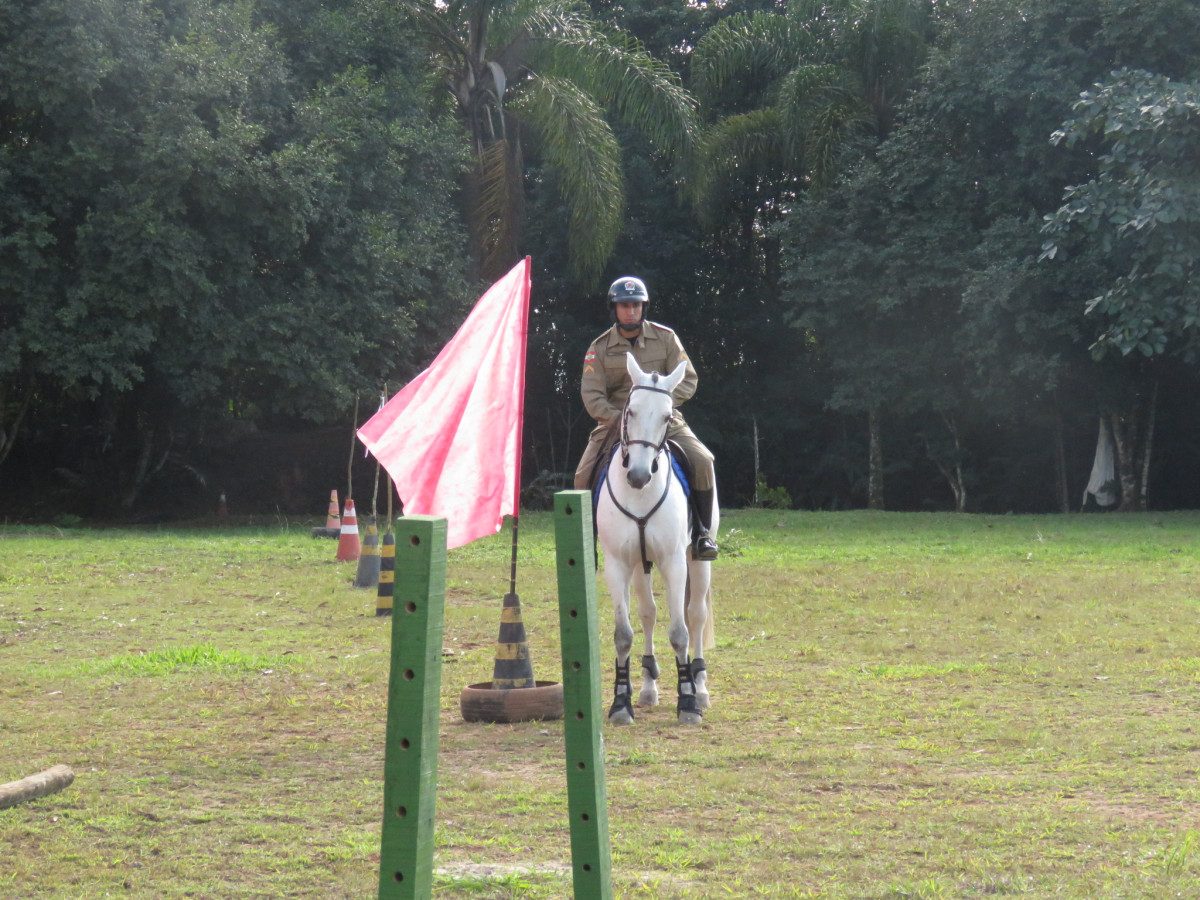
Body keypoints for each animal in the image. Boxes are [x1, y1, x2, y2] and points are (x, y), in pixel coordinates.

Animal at [595, 352, 715, 724]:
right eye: (630, 411)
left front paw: (688, 703)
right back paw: (648, 687)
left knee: (696, 614)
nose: (638, 475)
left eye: (666, 415)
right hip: (639, 566)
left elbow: (680, 631)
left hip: (697, 562)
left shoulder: (674, 561)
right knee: (648, 613)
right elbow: (624, 633)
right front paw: (621, 703)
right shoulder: (618, 564)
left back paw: (699, 686)